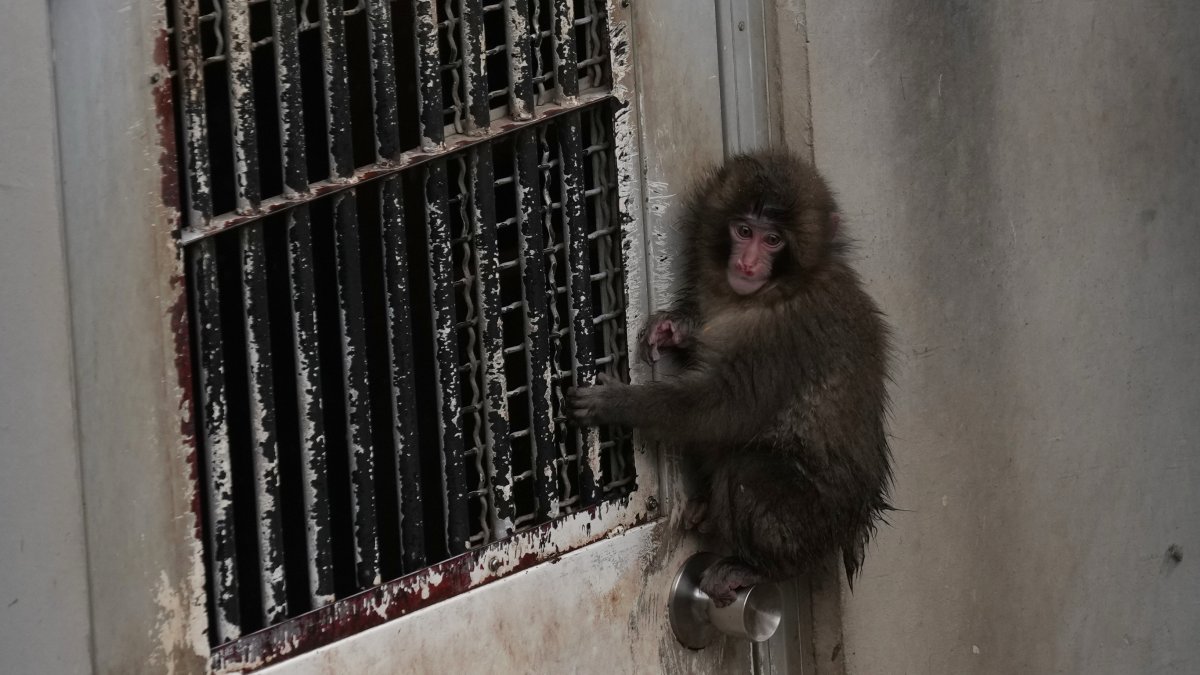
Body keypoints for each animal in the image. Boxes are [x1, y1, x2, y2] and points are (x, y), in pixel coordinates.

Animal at [568, 150, 893, 607]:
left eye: (772, 239)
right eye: (743, 230)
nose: (747, 262)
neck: (775, 291)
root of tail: (855, 524)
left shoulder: (782, 338)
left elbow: (719, 410)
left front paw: (618, 404)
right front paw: (675, 328)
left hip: (812, 523)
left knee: (746, 468)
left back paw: (762, 568)